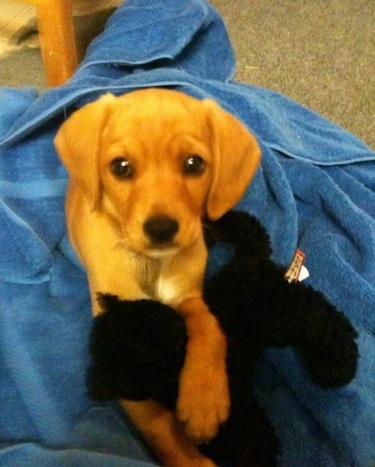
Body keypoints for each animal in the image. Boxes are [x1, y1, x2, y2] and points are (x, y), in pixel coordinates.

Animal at [55, 88, 262, 467]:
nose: (162, 229)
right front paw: (192, 457)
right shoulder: (119, 335)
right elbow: (158, 423)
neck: (152, 265)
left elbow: (210, 327)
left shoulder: (188, 294)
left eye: (194, 164)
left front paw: (204, 399)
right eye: (120, 167)